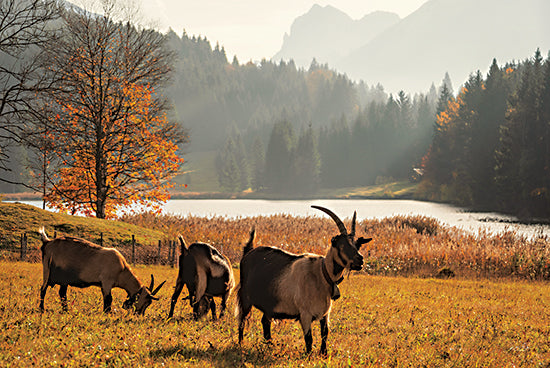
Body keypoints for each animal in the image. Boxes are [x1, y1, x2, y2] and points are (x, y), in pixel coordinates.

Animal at [238, 206, 376, 356]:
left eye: (358, 245)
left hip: (269, 304)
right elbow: (309, 338)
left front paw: (323, 354)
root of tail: (248, 252)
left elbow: (325, 333)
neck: (322, 274)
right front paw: (308, 356)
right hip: (245, 297)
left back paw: (269, 346)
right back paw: (240, 344)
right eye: (343, 245)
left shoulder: (325, 314)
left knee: (265, 321)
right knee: (242, 320)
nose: (360, 260)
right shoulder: (305, 314)